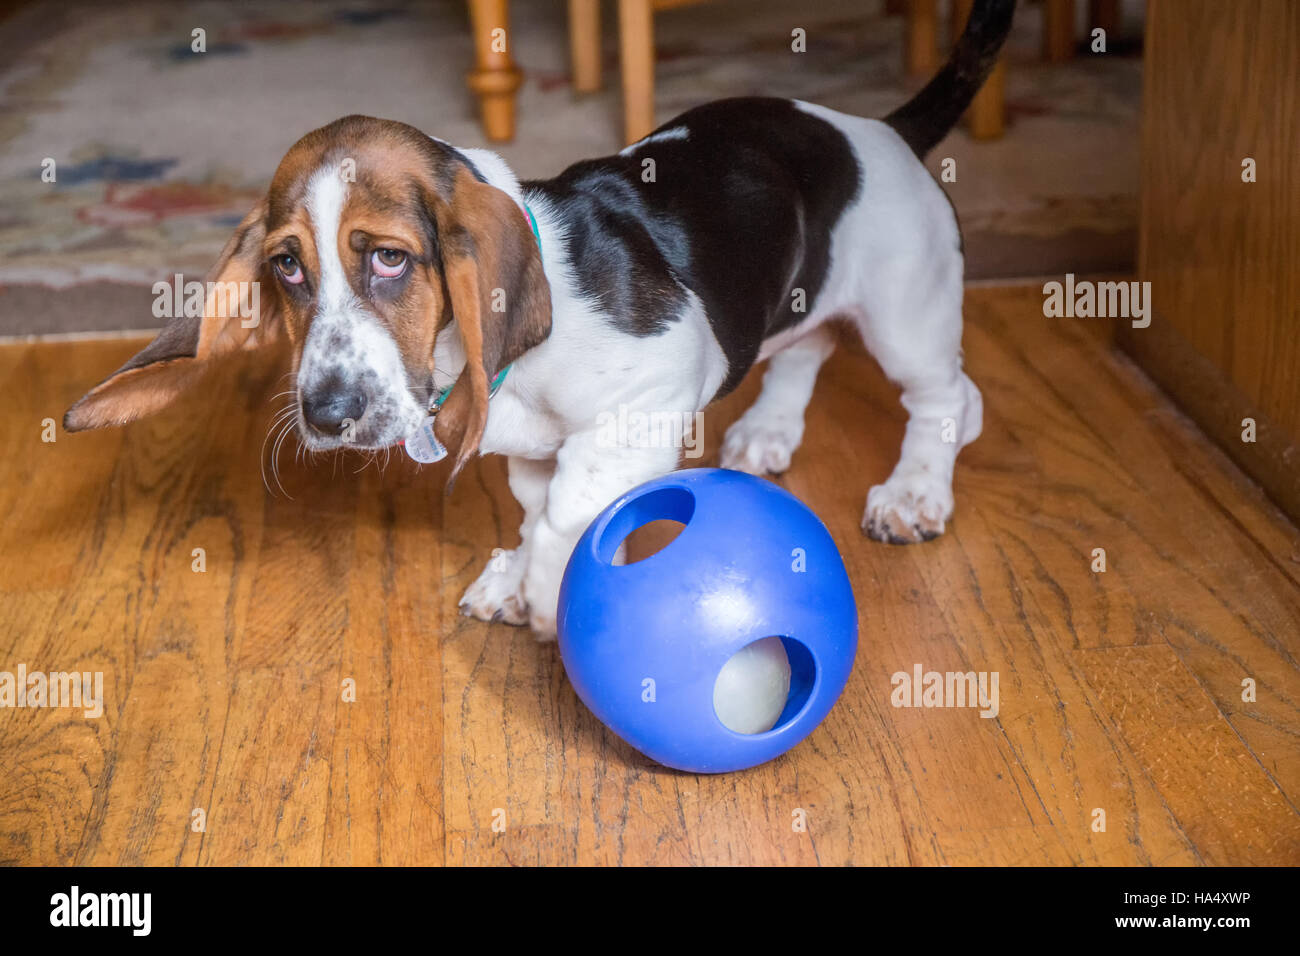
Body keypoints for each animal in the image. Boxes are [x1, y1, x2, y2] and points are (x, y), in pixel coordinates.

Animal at [63, 3, 1013, 639]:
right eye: (287, 266)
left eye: (390, 259)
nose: (327, 416)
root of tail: (878, 130)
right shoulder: (526, 448)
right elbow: (532, 505)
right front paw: (517, 575)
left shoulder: (649, 397)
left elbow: (567, 509)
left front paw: (550, 592)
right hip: (809, 304)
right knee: (805, 351)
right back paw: (768, 434)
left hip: (906, 314)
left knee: (951, 400)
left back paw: (914, 493)